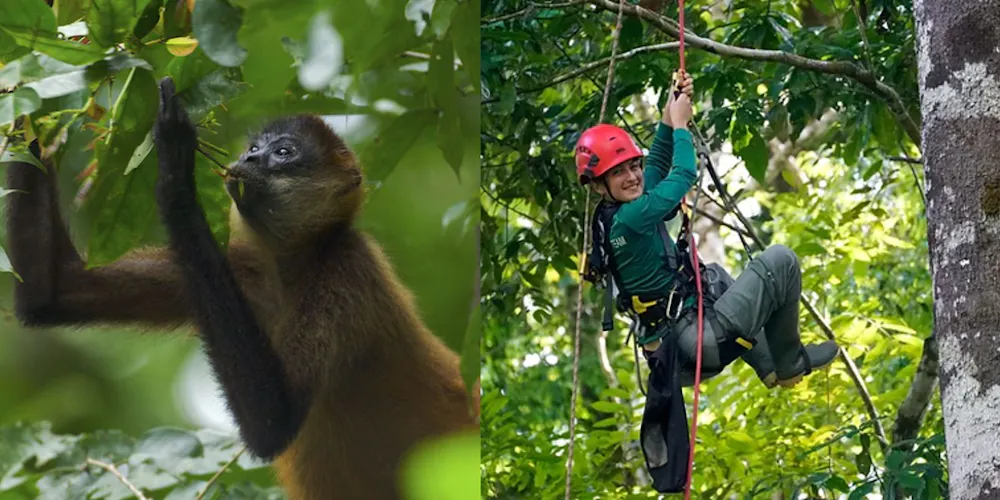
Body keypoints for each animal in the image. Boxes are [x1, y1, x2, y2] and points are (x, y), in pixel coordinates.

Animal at [5, 76, 479, 500]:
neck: (287, 272)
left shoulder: (346, 268)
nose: (248, 159)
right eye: (254, 148)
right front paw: (28, 107)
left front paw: (175, 170)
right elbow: (53, 292)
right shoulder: (241, 268)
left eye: (283, 152)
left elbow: (272, 420)